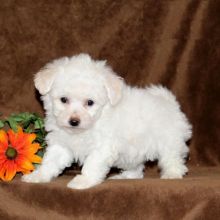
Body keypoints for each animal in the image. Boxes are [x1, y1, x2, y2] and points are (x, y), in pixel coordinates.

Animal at [21, 53, 192, 189]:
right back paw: (125, 176)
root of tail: (169, 102)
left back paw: (172, 174)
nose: (74, 121)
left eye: (90, 102)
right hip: (133, 151)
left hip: (169, 141)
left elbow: (92, 164)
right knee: (136, 168)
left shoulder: (102, 147)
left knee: (172, 158)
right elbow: (51, 161)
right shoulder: (61, 144)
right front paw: (38, 176)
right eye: (64, 100)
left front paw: (84, 181)